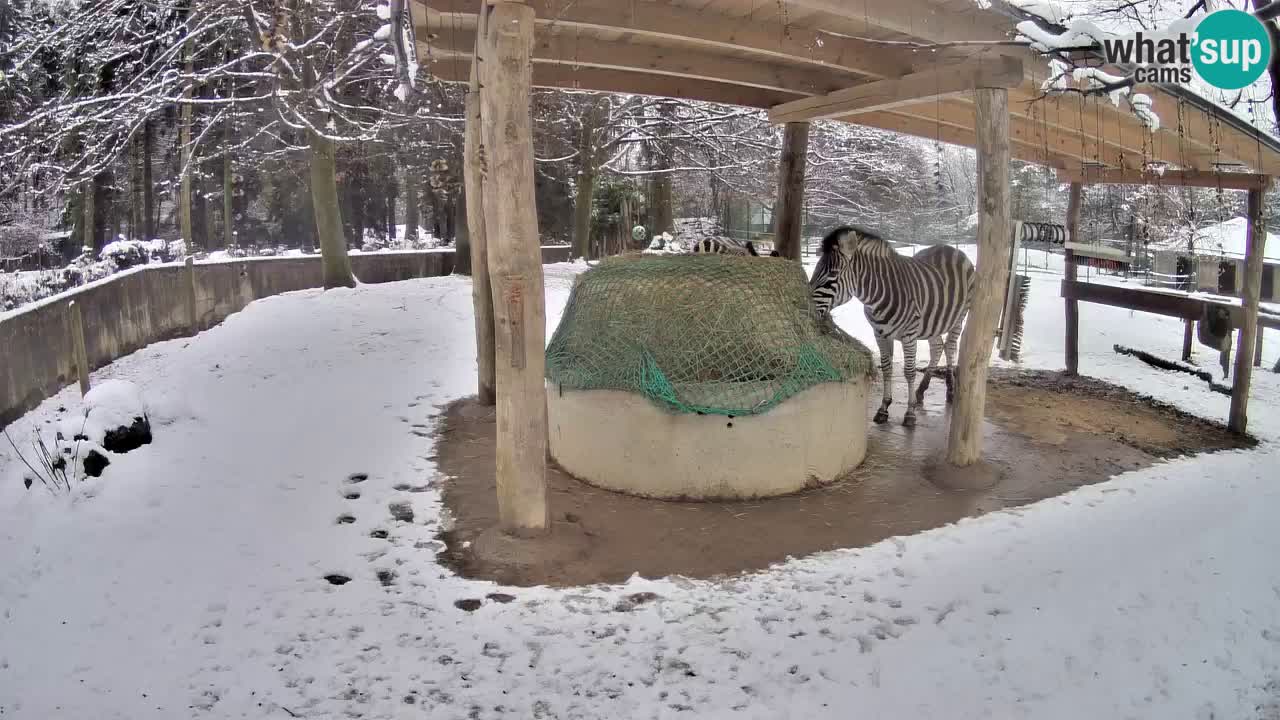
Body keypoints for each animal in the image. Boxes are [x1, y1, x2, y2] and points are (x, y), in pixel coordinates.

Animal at [808, 226, 977, 422]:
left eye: (832, 274)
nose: (804, 303)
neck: (877, 296)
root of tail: (952, 249)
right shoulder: (880, 333)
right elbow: (887, 369)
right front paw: (884, 407)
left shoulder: (909, 334)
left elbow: (909, 371)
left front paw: (910, 413)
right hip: (933, 322)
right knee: (937, 347)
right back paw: (921, 390)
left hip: (959, 317)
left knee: (950, 347)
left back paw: (950, 390)